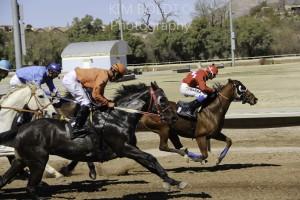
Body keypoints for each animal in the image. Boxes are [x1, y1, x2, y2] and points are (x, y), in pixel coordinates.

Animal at [0, 82, 185, 198]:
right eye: (162, 100)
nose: (174, 117)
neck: (119, 117)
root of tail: (21, 129)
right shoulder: (124, 148)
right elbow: (150, 158)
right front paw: (174, 182)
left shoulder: (130, 148)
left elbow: (150, 164)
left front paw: (172, 181)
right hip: (38, 161)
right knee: (30, 186)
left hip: (21, 160)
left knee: (5, 179)